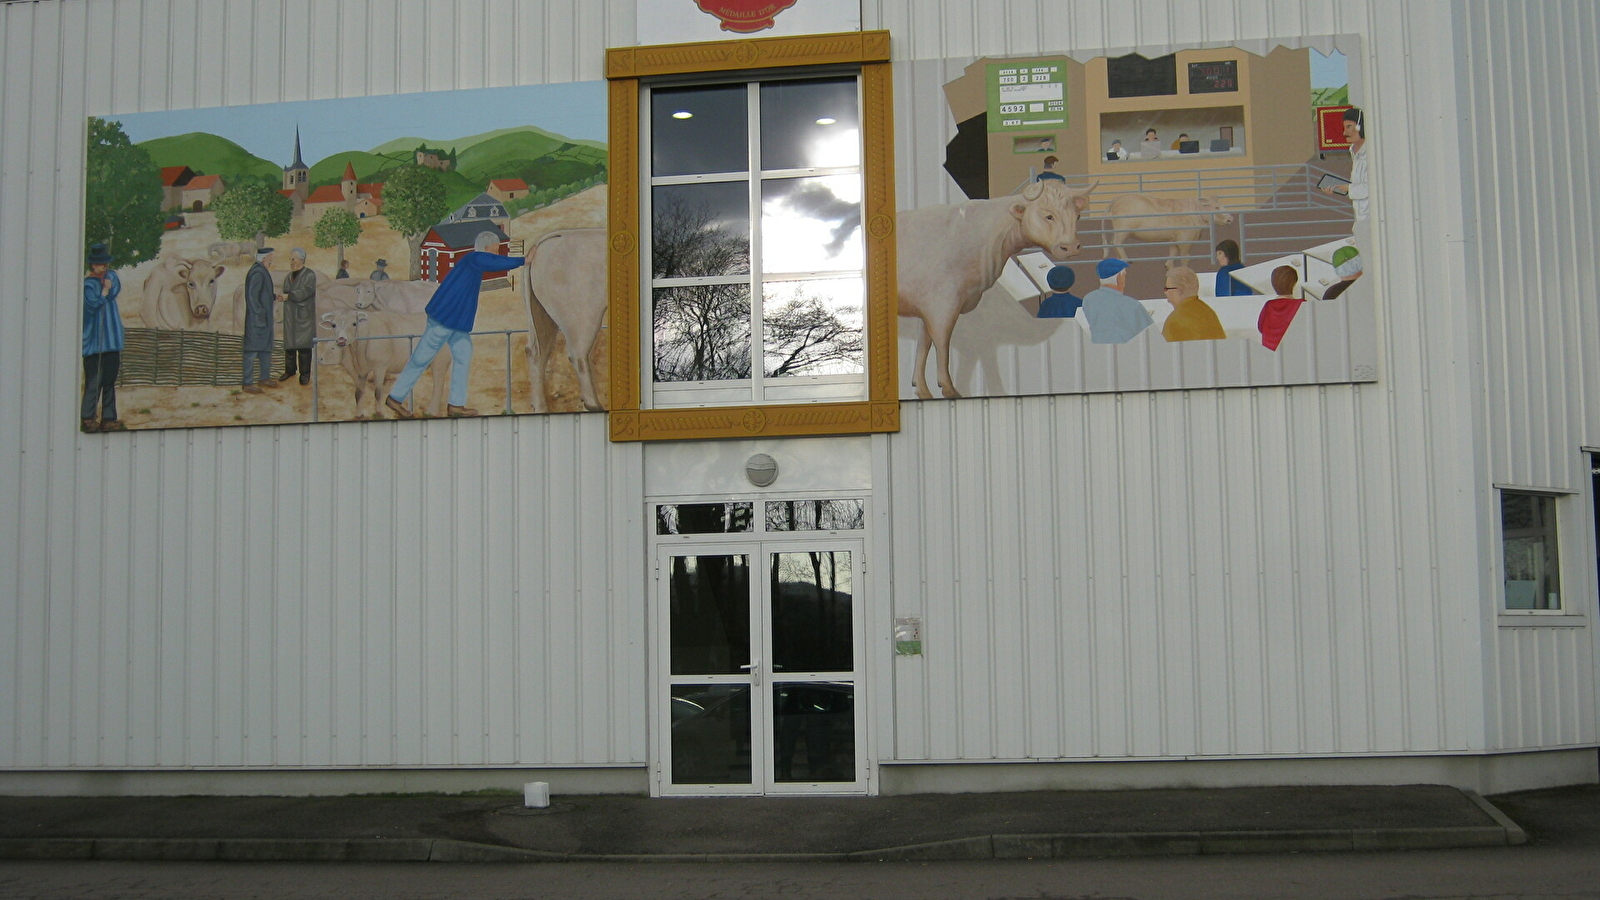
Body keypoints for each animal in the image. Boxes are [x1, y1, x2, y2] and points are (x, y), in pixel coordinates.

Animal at [521, 230, 608, 413]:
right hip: (583, 314)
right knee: (577, 354)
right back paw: (593, 404)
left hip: (542, 314)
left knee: (536, 351)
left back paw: (541, 407)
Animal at [896, 178, 1094, 395]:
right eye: (1048, 215)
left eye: (1078, 216)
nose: (1072, 247)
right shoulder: (943, 305)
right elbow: (942, 343)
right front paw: (949, 389)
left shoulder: (928, 308)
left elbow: (924, 344)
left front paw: (922, 388)